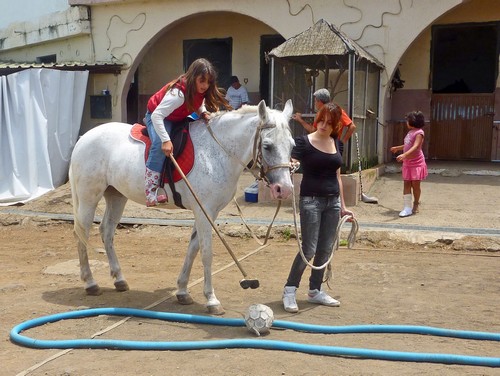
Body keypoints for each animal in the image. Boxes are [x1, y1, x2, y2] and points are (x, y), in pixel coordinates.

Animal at [68, 99, 294, 314]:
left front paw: (183, 291)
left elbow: (193, 249)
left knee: (106, 231)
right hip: (88, 197)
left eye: (292, 145)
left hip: (116, 196)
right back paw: (90, 282)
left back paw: (119, 279)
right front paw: (211, 300)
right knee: (82, 233)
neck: (217, 152)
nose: (284, 189)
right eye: (267, 146)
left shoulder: (206, 212)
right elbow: (206, 252)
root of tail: (84, 138)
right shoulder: (205, 212)